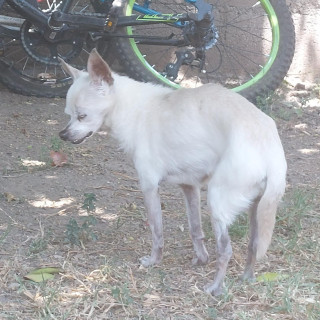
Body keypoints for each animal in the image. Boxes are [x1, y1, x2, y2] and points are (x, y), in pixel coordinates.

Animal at [58, 48, 286, 296]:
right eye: (68, 114)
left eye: (82, 116)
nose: (63, 135)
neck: (131, 109)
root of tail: (270, 150)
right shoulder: (189, 186)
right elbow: (195, 229)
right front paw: (201, 259)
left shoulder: (149, 186)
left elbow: (156, 230)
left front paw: (153, 261)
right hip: (257, 207)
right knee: (254, 243)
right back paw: (247, 277)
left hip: (217, 201)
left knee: (225, 249)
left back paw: (215, 287)